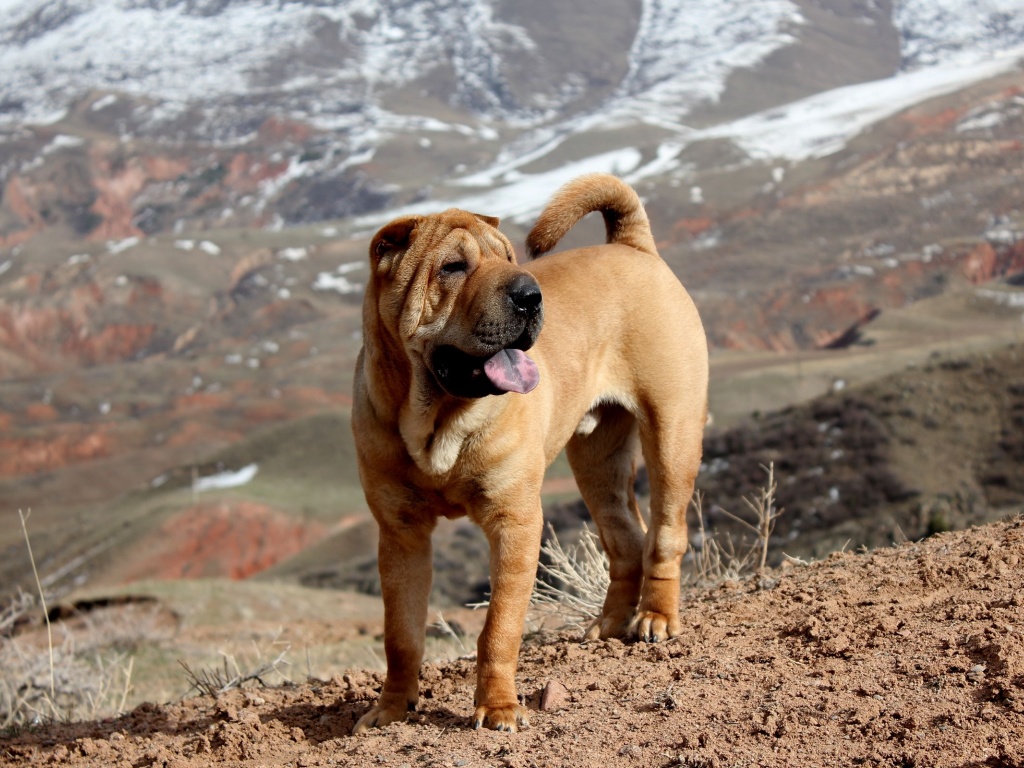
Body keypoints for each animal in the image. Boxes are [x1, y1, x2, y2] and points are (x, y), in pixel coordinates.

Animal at [348, 173, 708, 733]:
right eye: (453, 266)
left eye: (508, 258)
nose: (529, 295)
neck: (437, 421)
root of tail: (633, 247)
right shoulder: (401, 534)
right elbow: (401, 634)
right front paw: (389, 710)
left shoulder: (513, 520)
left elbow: (498, 626)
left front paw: (497, 708)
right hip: (597, 462)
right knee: (626, 539)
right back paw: (609, 625)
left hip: (673, 434)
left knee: (666, 533)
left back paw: (655, 618)